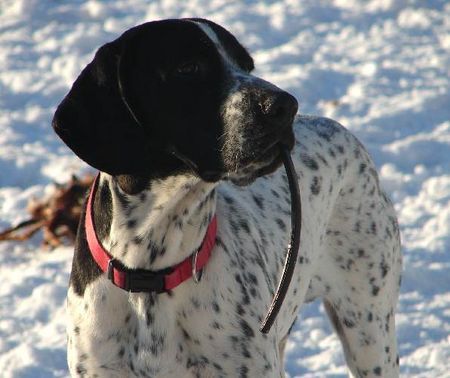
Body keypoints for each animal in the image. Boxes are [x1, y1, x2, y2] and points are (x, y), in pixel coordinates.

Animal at [51, 17, 400, 376]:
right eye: (188, 67)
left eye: (247, 65)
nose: (285, 105)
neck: (152, 270)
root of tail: (337, 127)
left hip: (368, 329)